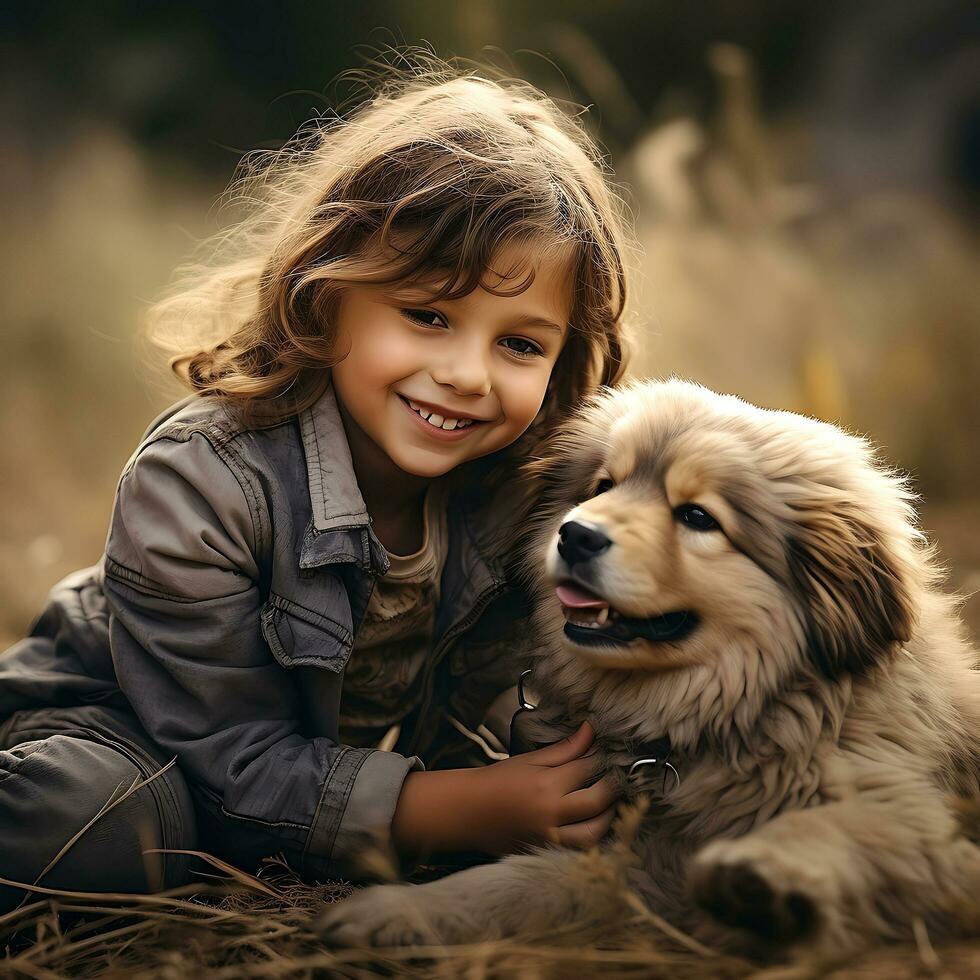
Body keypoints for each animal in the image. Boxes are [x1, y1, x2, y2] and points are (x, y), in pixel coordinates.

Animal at [318, 378, 976, 960]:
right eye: (602, 486)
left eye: (697, 517)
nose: (575, 535)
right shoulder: (640, 862)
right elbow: (523, 881)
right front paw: (401, 910)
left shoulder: (914, 818)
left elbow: (845, 826)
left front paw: (755, 879)